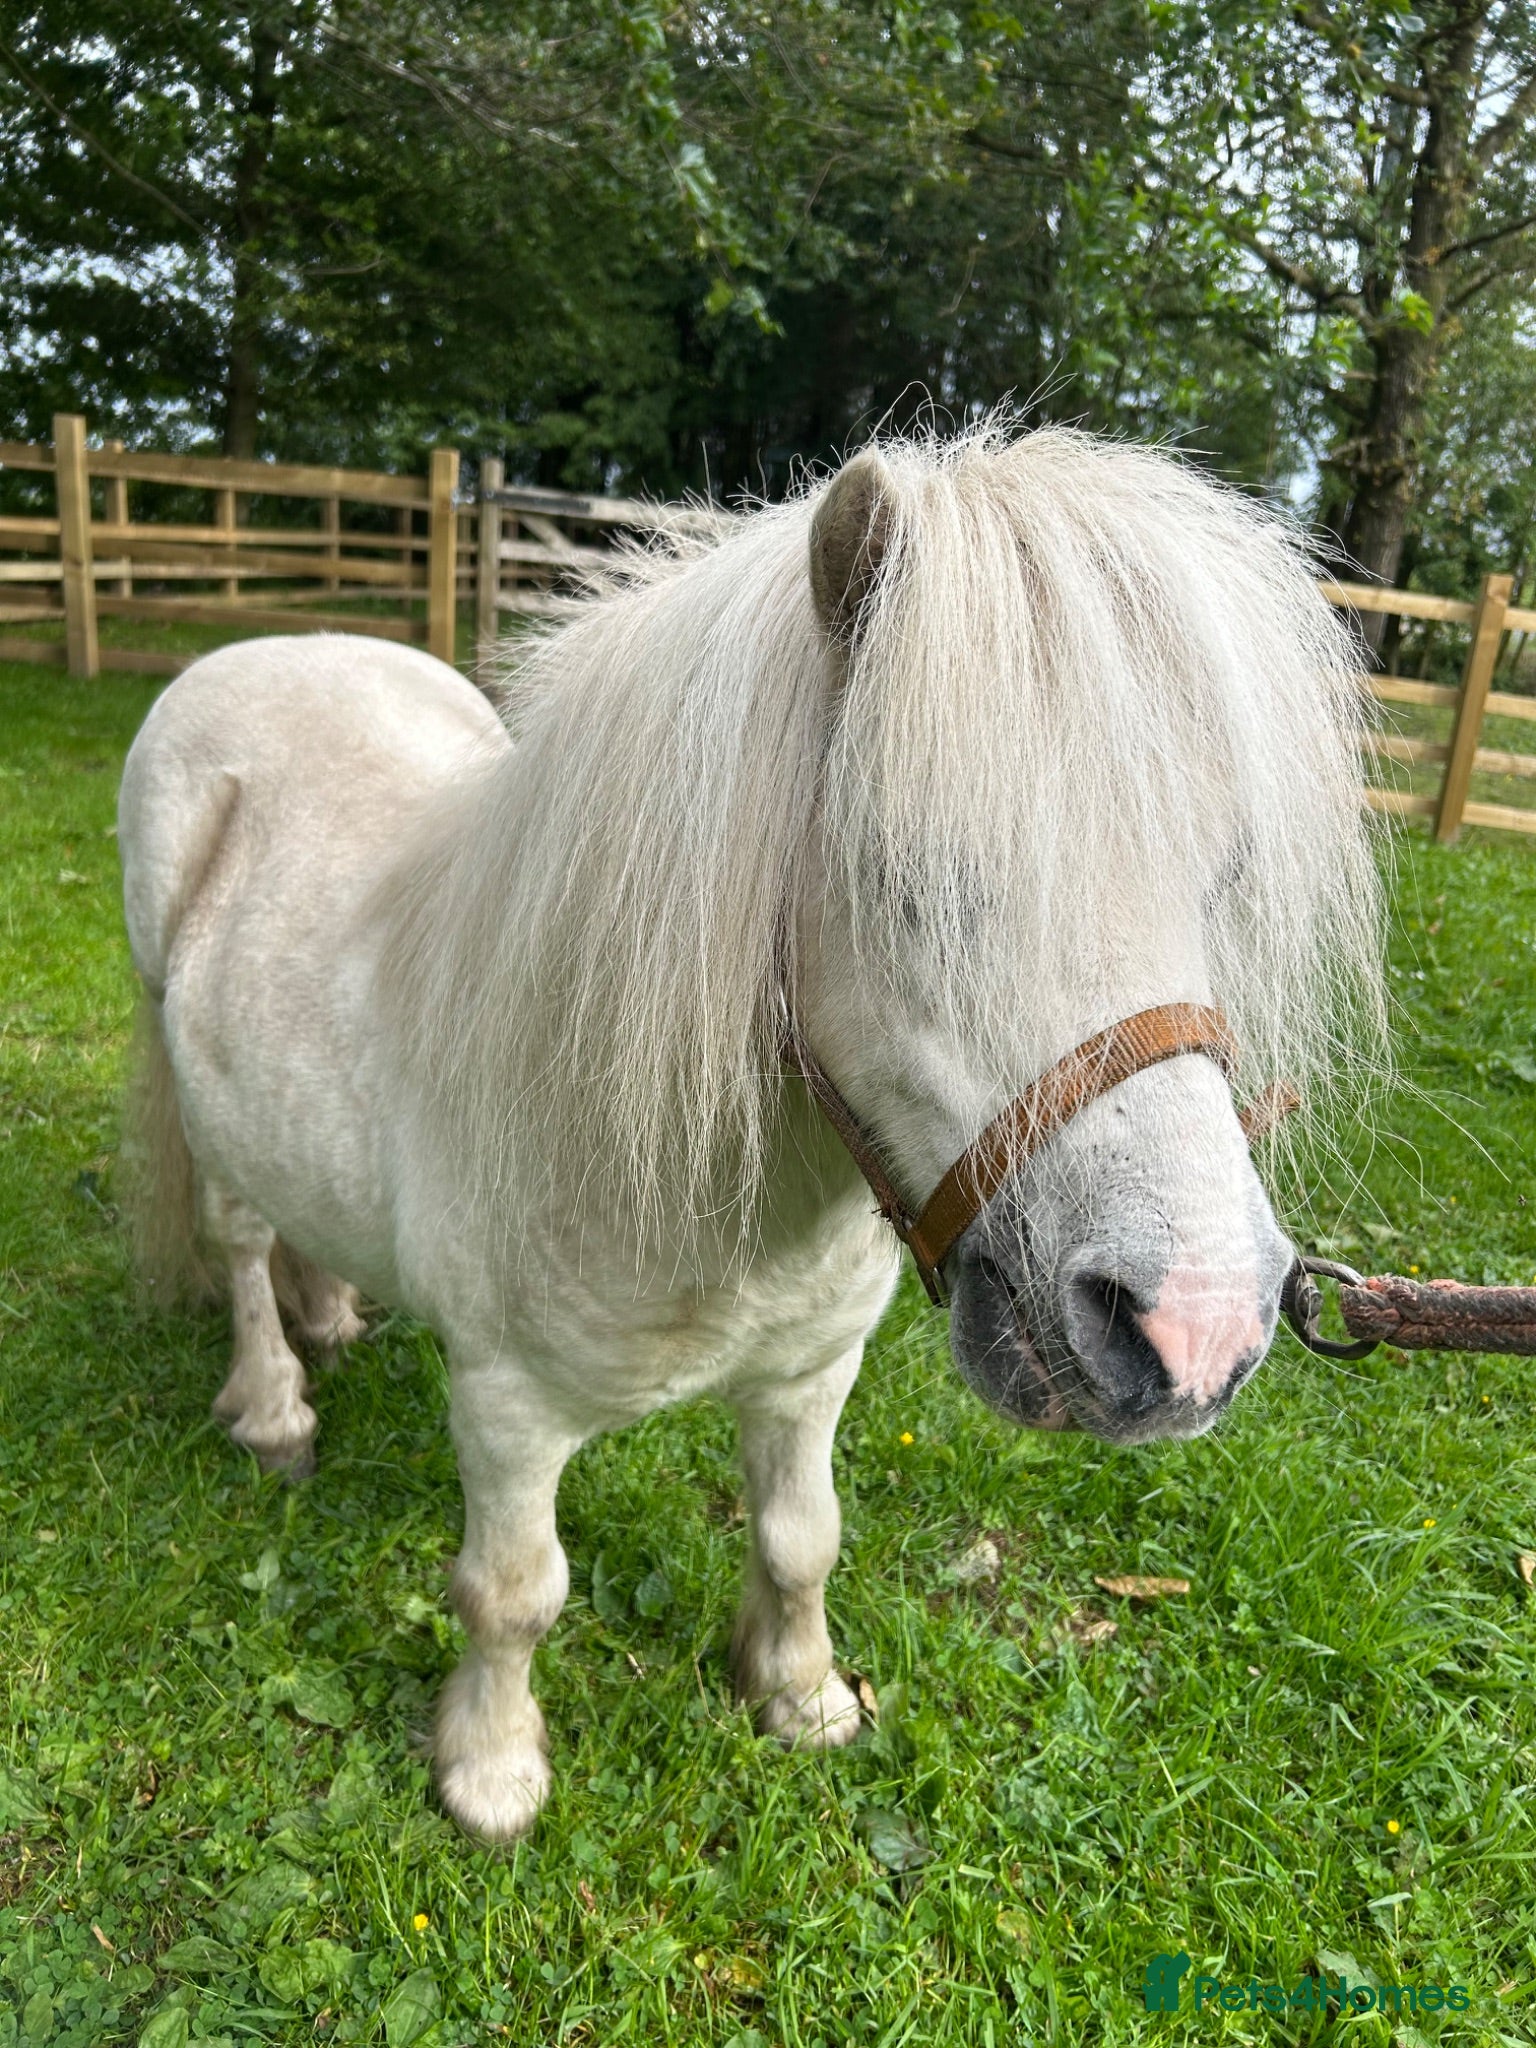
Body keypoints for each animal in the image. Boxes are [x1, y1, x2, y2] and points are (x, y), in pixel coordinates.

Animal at [117, 423, 1383, 1841]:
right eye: (906, 877)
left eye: (1222, 876)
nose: (1197, 1331)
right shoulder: (504, 1406)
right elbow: (515, 1593)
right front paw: (491, 1773)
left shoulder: (808, 1372)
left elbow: (801, 1537)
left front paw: (800, 1695)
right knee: (238, 1243)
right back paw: (276, 1404)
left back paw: (334, 1312)